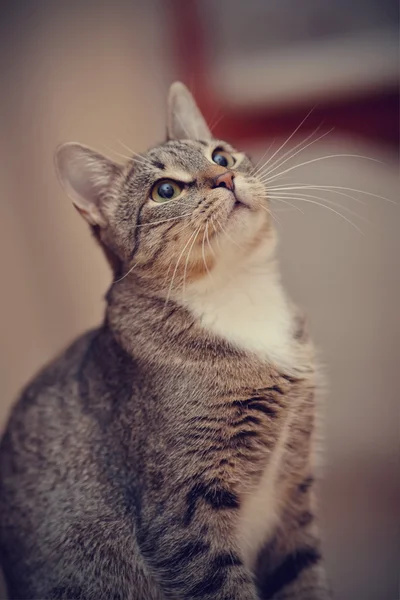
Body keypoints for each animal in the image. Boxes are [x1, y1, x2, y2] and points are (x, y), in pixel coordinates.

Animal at [0, 82, 330, 596]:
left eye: (221, 155)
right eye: (166, 190)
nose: (224, 178)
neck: (235, 294)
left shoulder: (293, 493)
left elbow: (303, 575)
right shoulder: (182, 516)